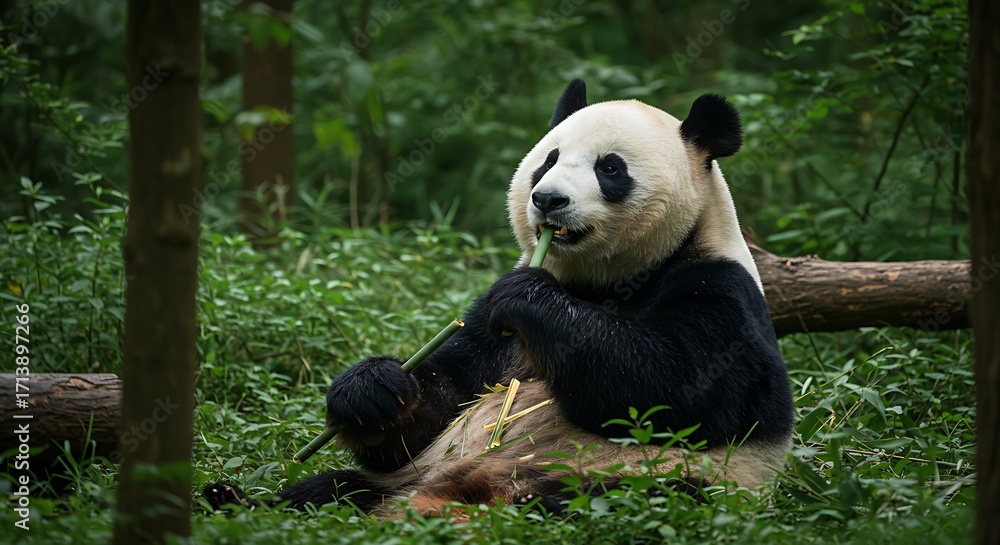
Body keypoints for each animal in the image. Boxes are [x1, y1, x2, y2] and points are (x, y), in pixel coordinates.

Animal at [204, 79, 794, 517]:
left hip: (640, 482)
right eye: (548, 160)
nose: (547, 199)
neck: (609, 281)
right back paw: (231, 499)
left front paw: (530, 298)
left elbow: (681, 390)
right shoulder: (484, 326)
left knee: (616, 500)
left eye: (610, 168)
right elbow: (441, 404)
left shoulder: (720, 290)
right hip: (403, 479)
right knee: (333, 490)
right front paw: (372, 390)